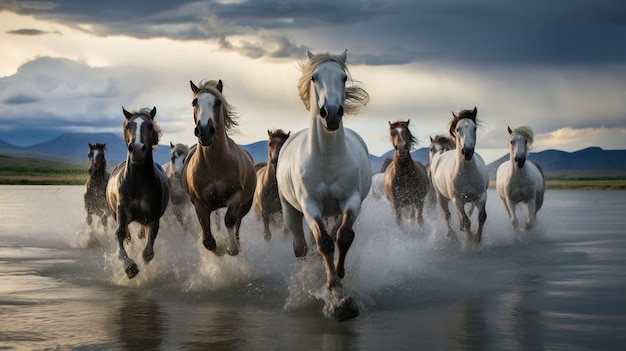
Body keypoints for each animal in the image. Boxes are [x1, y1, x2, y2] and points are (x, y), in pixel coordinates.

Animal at [105, 108, 169, 280]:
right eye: (128, 126)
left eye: (150, 125)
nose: (137, 149)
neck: (138, 182)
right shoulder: (122, 212)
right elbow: (120, 234)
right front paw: (129, 266)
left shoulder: (152, 218)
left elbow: (148, 253)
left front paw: (145, 272)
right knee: (128, 237)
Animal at [180, 79, 256, 256]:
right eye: (194, 102)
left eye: (218, 102)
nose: (205, 131)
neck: (213, 164)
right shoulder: (200, 204)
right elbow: (208, 240)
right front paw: (219, 249)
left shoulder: (236, 195)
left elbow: (230, 220)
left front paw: (231, 248)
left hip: (245, 205)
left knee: (237, 224)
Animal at [274, 49, 368, 322]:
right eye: (314, 77)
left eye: (344, 77)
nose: (332, 112)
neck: (327, 157)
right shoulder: (310, 205)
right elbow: (324, 243)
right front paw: (337, 297)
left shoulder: (352, 200)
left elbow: (343, 237)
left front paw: (340, 277)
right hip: (291, 212)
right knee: (302, 247)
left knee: (335, 233)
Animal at [428, 107, 488, 243]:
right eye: (457, 129)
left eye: (475, 128)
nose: (467, 151)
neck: (467, 173)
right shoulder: (458, 200)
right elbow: (466, 222)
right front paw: (469, 240)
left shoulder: (481, 196)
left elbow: (481, 217)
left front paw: (477, 239)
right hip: (441, 197)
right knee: (448, 215)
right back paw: (451, 235)